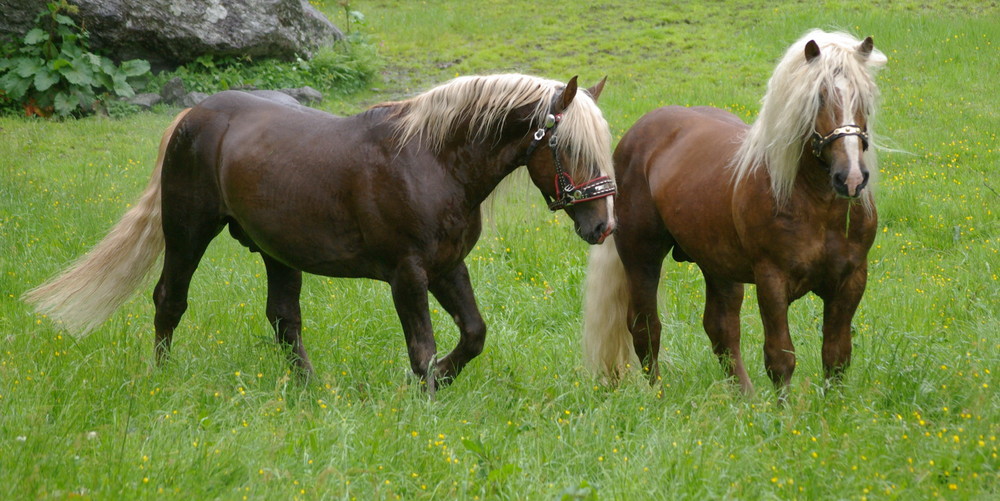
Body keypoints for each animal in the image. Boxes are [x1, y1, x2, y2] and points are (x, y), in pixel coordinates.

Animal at [25, 73, 616, 390]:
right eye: (567, 146)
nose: (603, 225)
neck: (431, 160)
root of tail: (194, 113)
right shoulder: (408, 275)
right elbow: (422, 348)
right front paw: (424, 394)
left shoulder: (449, 266)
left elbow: (473, 335)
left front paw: (441, 381)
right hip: (188, 231)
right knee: (170, 298)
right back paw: (163, 375)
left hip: (276, 250)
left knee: (284, 318)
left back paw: (310, 390)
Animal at [584, 30, 888, 394]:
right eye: (818, 98)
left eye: (865, 99)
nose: (851, 177)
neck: (818, 207)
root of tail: (635, 136)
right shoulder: (772, 280)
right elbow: (780, 357)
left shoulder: (851, 280)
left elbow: (836, 355)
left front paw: (834, 406)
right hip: (641, 258)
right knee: (646, 328)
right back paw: (659, 396)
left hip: (718, 266)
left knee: (721, 329)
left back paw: (745, 398)